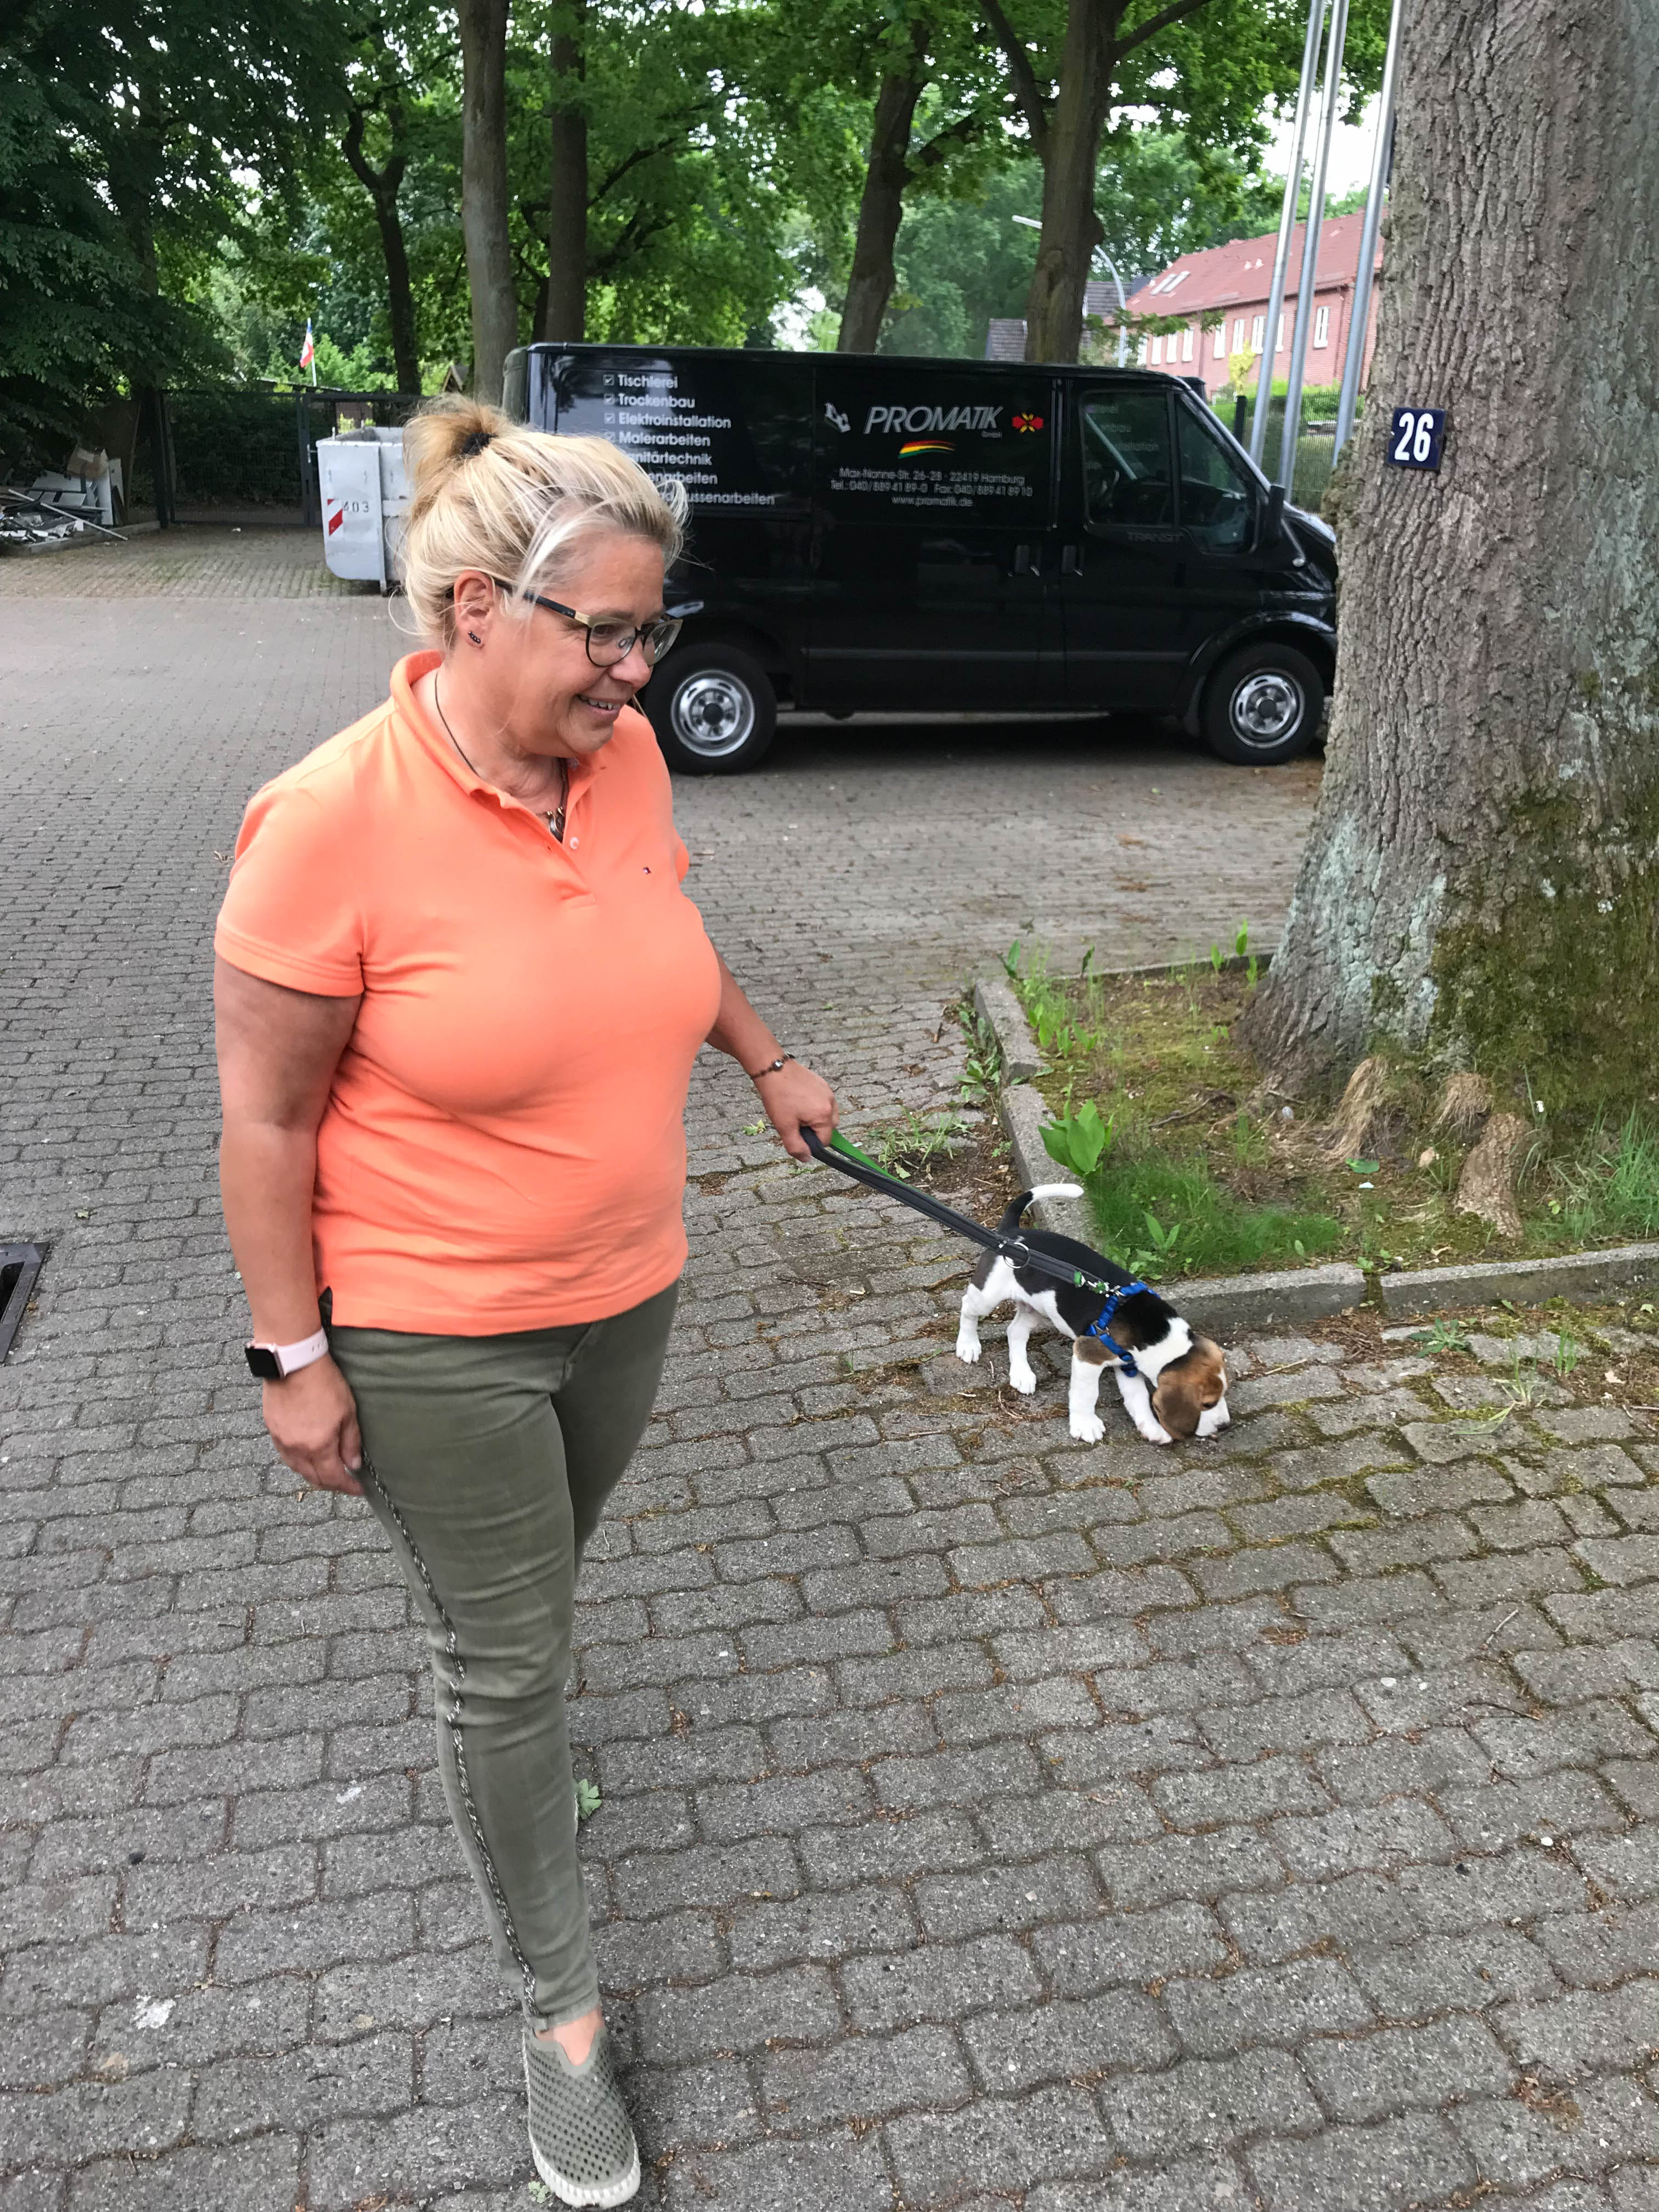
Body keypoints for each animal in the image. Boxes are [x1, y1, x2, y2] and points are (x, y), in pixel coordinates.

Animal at [955, 1185, 1230, 1446]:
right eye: (1207, 1403)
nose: (1225, 1426)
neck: (1156, 1333)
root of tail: (1012, 1235)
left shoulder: (1126, 1364)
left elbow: (1138, 1398)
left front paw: (1151, 1428)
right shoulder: (1089, 1356)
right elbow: (1087, 1395)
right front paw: (1085, 1424)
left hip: (1039, 1307)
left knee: (1016, 1331)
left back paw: (1022, 1374)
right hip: (988, 1295)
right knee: (968, 1307)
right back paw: (968, 1345)